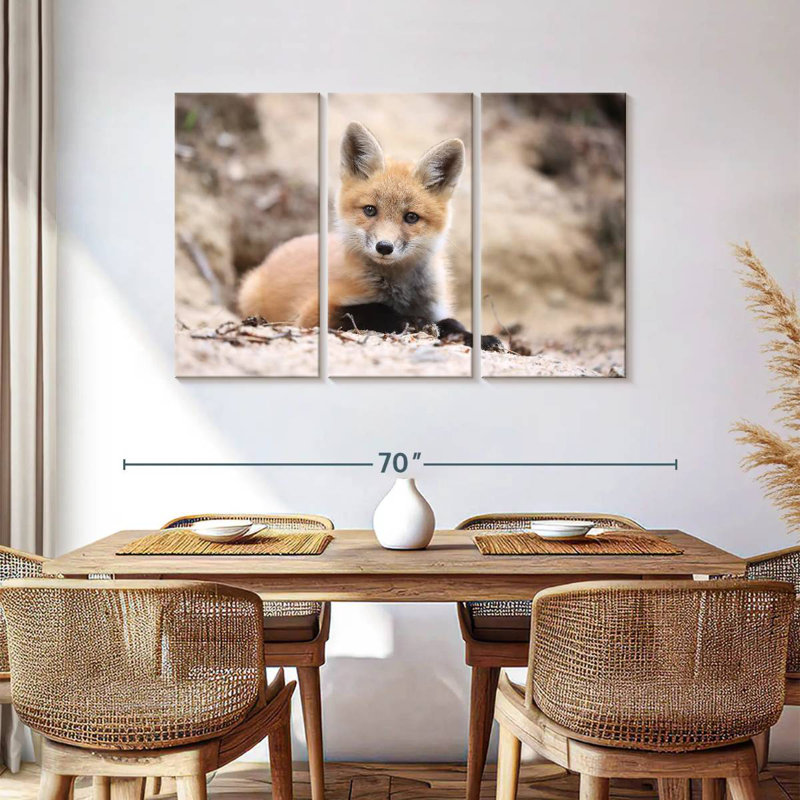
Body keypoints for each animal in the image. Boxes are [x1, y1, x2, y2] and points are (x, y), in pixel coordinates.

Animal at [238, 122, 501, 350]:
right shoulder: (313, 313)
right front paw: (413, 321)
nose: (384, 247)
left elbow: (453, 323)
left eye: (411, 217)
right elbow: (371, 310)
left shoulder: (436, 307)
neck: (401, 292)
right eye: (370, 210)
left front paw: (480, 338)